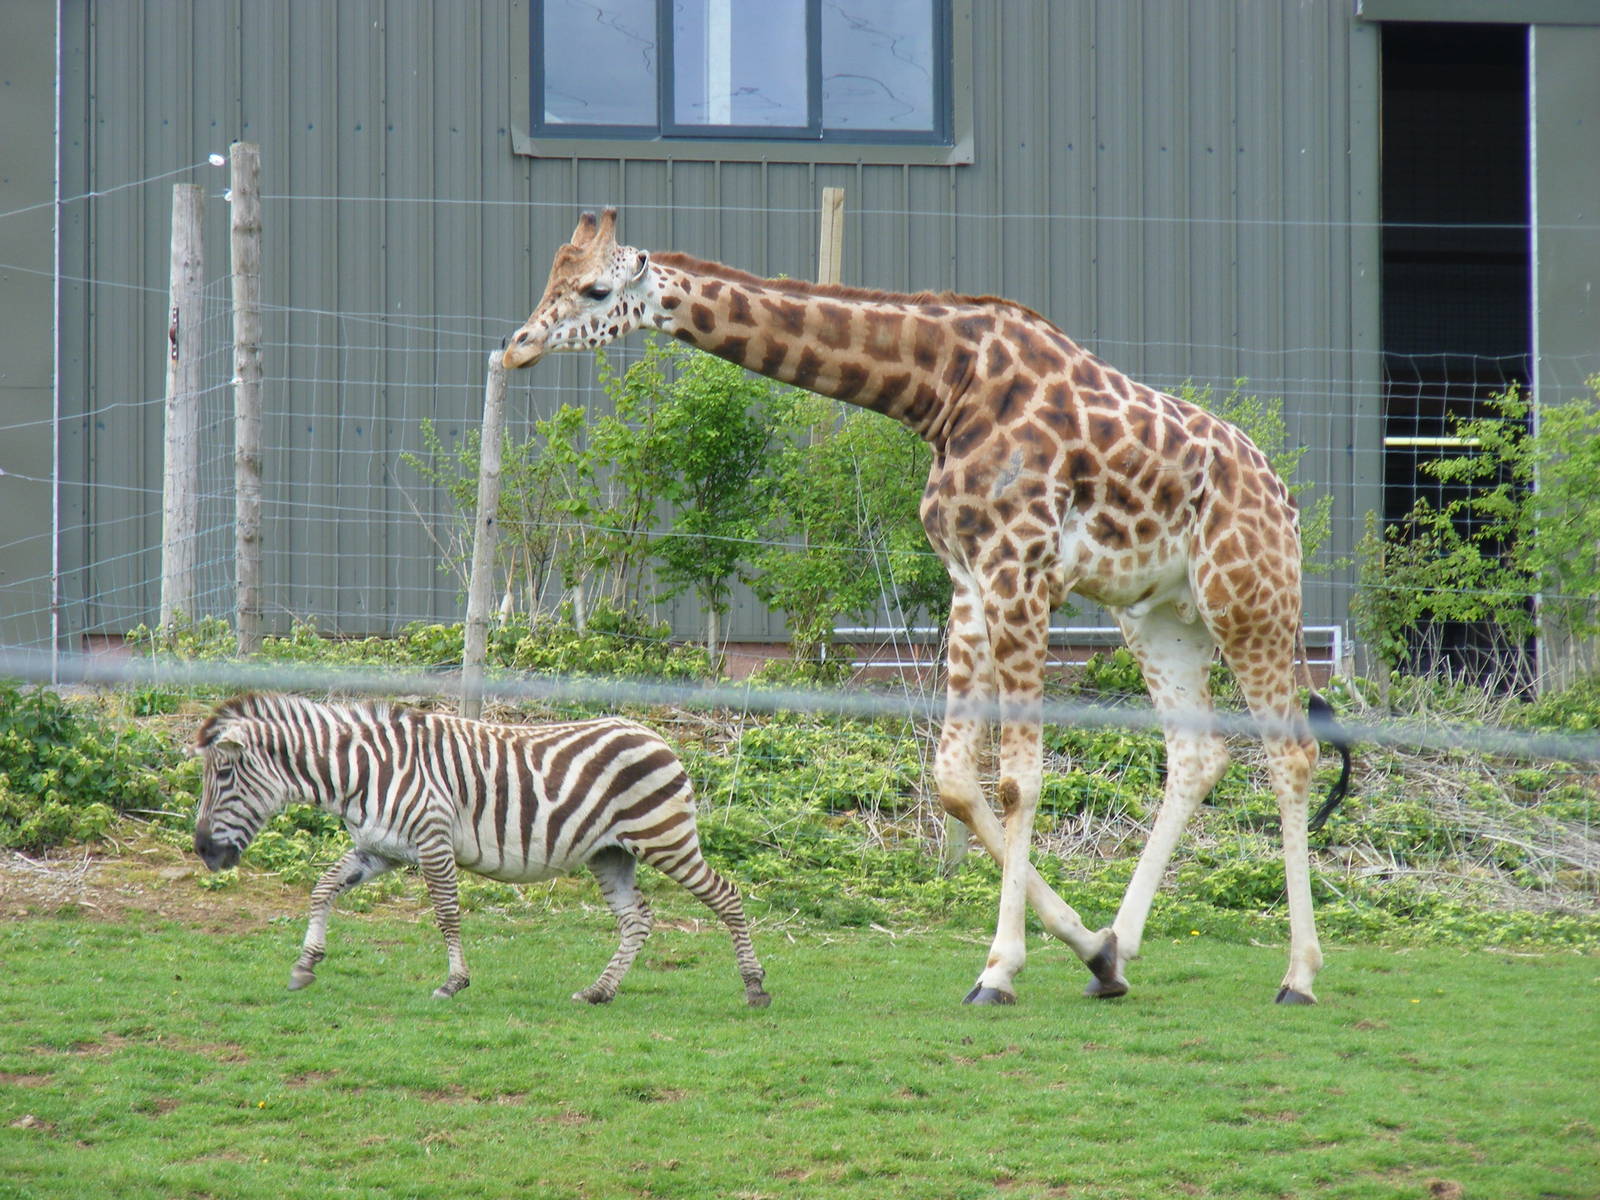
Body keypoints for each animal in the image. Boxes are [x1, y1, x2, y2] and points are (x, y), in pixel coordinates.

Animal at [191, 692, 770, 1007]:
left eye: (224, 774)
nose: (203, 852)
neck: (365, 773)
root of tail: (655, 735)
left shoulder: (432, 839)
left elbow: (447, 913)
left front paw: (454, 982)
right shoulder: (380, 849)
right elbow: (324, 887)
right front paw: (306, 964)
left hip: (664, 838)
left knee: (728, 897)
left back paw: (755, 987)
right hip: (611, 853)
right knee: (637, 919)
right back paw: (598, 991)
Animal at [503, 209, 1352, 1006]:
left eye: (595, 290)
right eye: (551, 277)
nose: (516, 347)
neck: (942, 388)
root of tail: (1283, 496)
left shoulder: (1018, 571)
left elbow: (1017, 781)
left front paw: (999, 971)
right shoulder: (970, 581)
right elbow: (952, 779)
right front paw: (1092, 952)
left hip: (1250, 598)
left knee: (1291, 754)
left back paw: (1301, 974)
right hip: (1159, 615)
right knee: (1198, 754)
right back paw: (1126, 942)